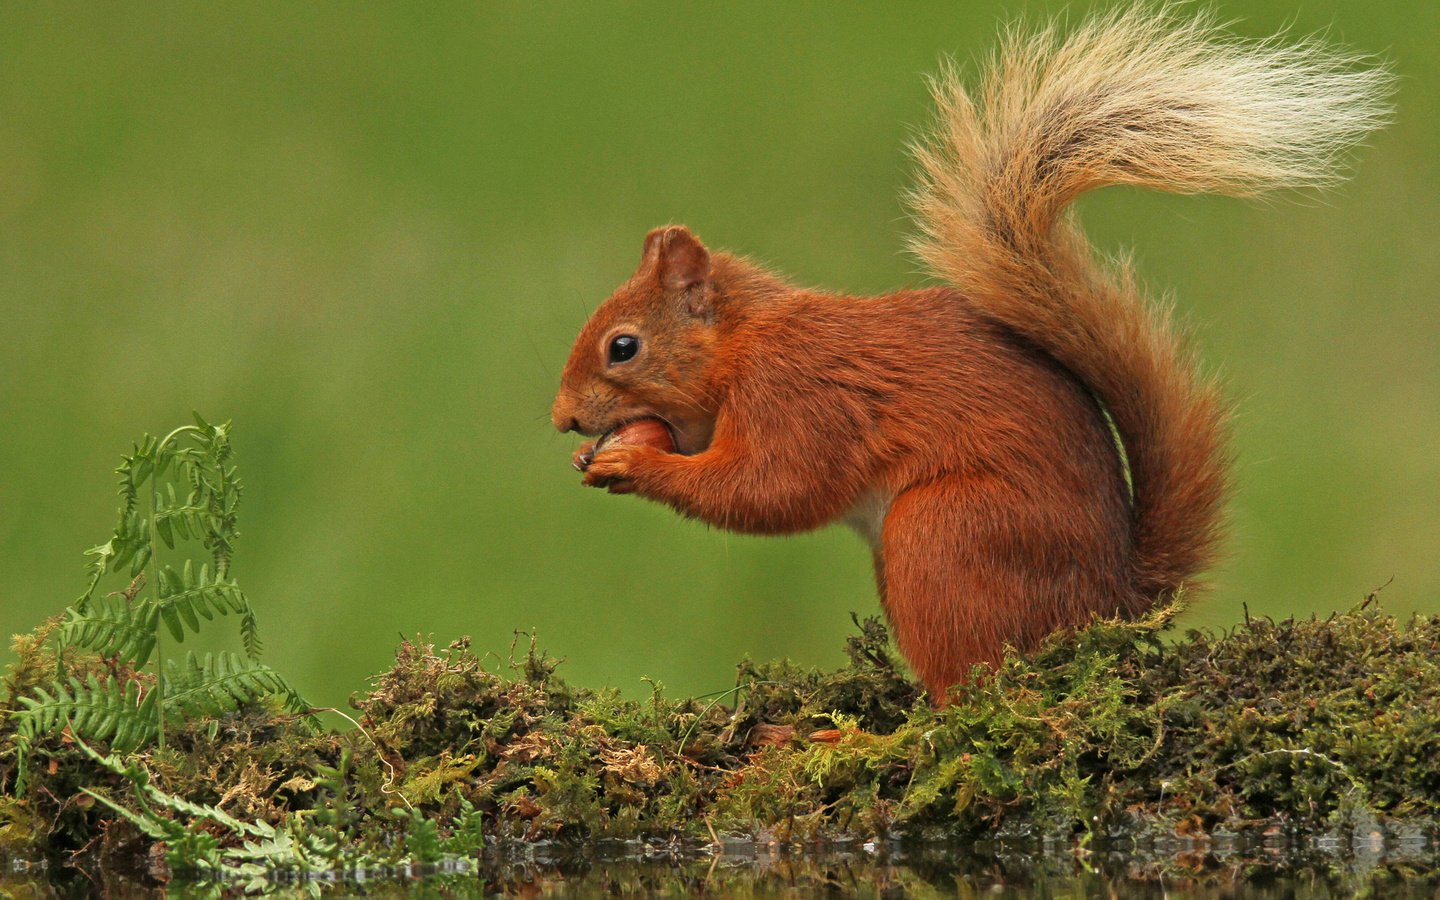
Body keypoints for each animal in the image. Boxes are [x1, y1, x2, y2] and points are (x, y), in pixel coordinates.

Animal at [547, 8, 1382, 694]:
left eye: (623, 347)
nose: (561, 419)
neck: (745, 340)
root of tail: (1108, 606)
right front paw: (598, 455)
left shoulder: (799, 392)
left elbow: (770, 488)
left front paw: (636, 463)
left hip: (943, 538)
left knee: (969, 691)